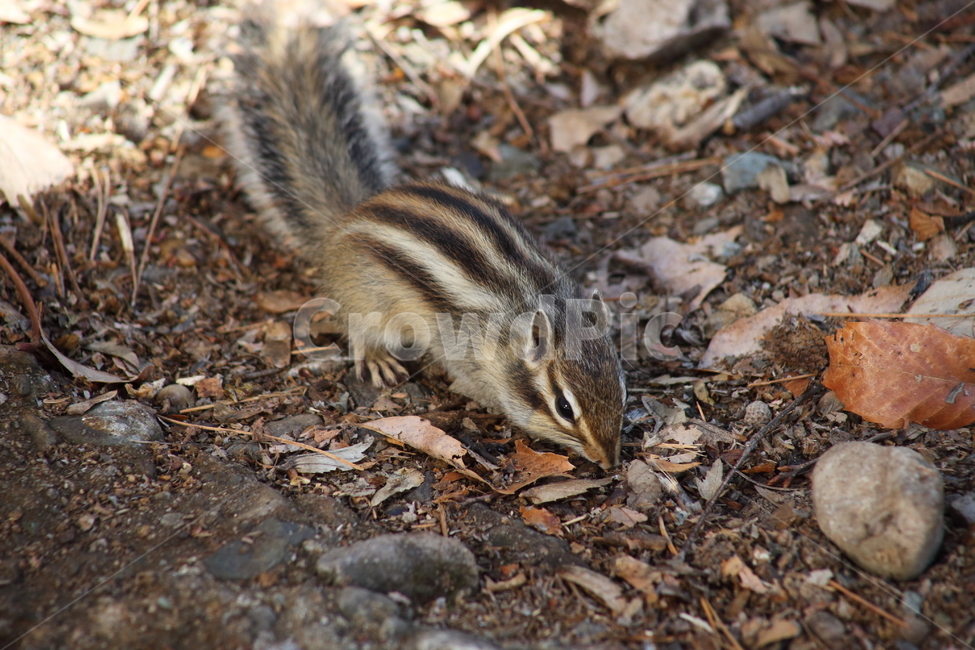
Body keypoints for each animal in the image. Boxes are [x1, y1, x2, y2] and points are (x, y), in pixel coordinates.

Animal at [221, 14, 625, 469]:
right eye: (564, 407)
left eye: (622, 387)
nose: (610, 462)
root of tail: (349, 216)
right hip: (368, 300)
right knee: (357, 328)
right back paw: (376, 357)